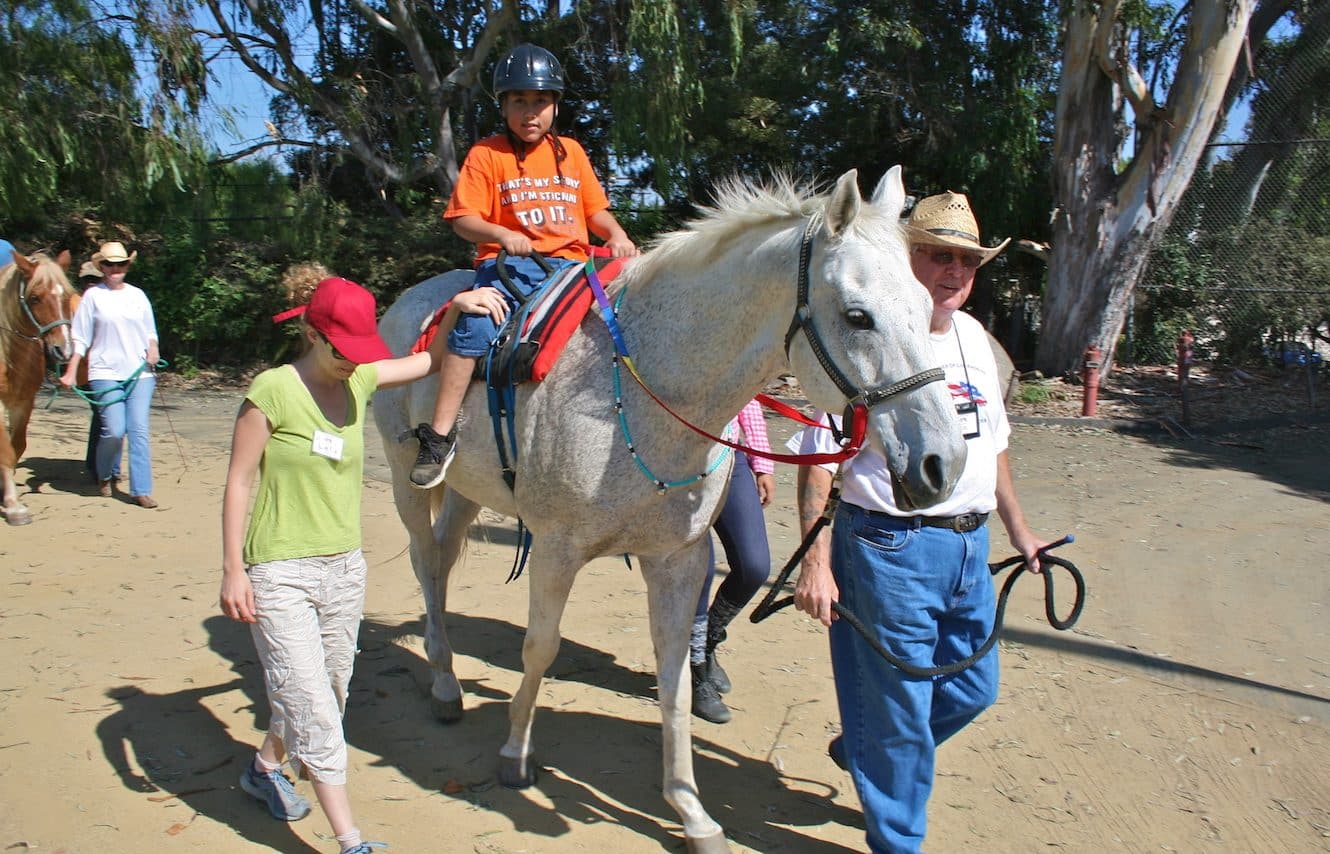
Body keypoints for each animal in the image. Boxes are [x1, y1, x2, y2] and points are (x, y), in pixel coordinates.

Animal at [0, 250, 75, 521]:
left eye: (66, 295)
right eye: (34, 297)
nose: (63, 350)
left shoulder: (23, 403)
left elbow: (17, 446)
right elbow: (6, 451)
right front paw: (14, 506)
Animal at [375, 167, 968, 851]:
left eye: (927, 308)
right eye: (857, 316)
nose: (943, 463)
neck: (644, 387)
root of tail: (409, 300)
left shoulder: (680, 560)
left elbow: (676, 677)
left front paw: (690, 810)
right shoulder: (556, 550)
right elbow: (539, 650)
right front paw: (516, 755)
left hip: (470, 492)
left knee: (444, 561)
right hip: (409, 482)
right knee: (425, 564)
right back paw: (445, 685)